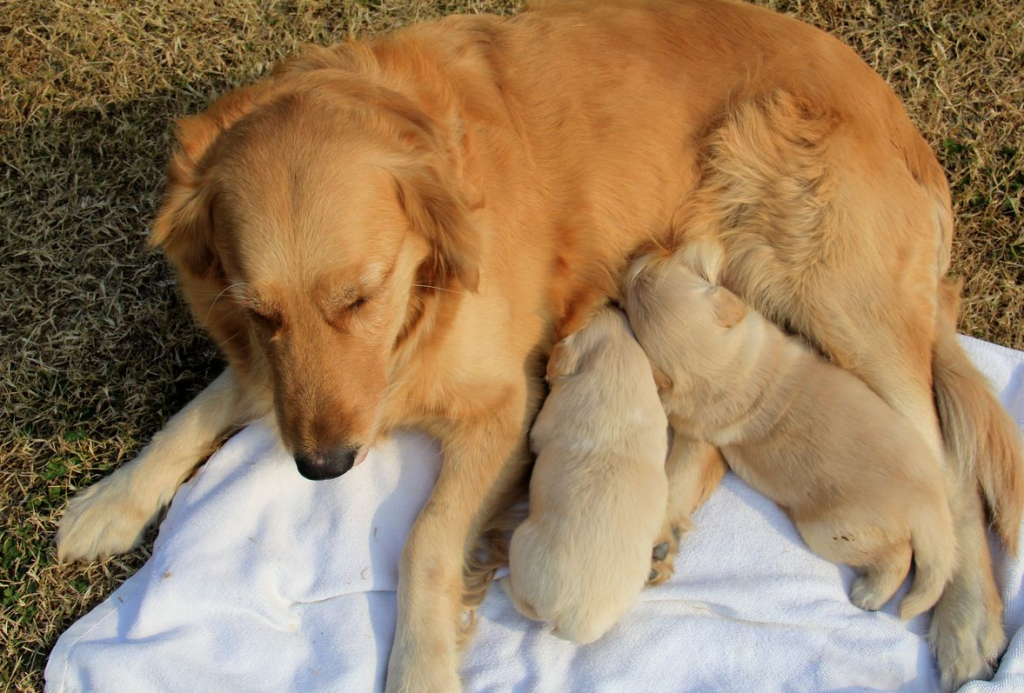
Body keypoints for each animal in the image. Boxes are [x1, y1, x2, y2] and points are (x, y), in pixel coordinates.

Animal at [622, 256, 958, 618]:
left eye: (653, 274)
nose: (638, 258)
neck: (732, 367)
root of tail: (930, 504)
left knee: (900, 555)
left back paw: (869, 594)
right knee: (898, 555)